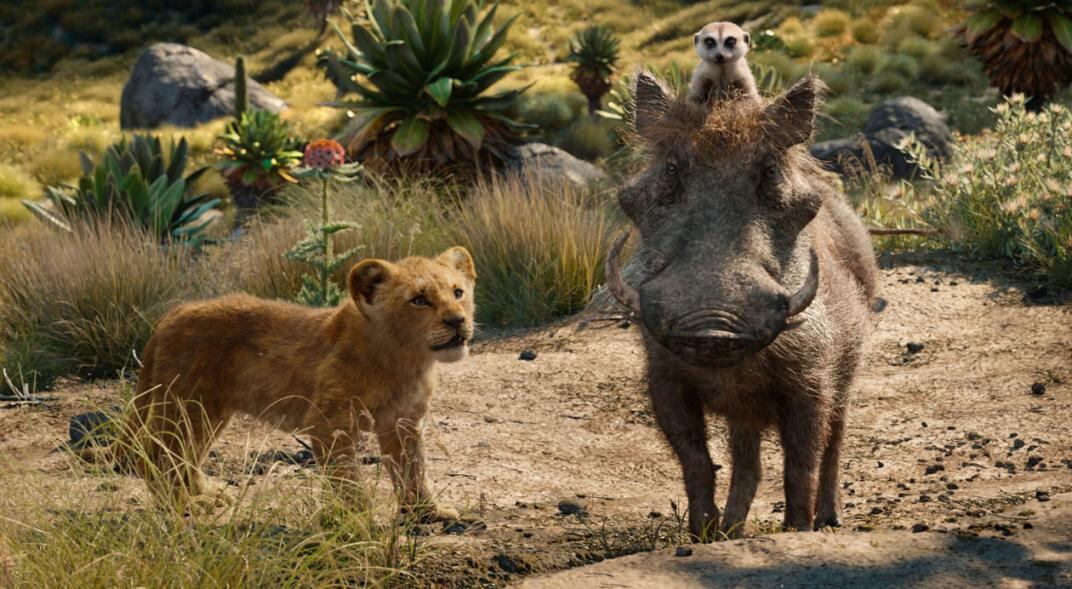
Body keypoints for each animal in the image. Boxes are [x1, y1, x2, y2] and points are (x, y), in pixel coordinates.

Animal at [109, 247, 476, 520]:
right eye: (419, 300)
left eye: (458, 293)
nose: (458, 320)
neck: (406, 361)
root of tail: (169, 317)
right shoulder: (330, 422)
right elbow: (346, 478)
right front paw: (358, 521)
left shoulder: (403, 423)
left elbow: (413, 469)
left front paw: (426, 512)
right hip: (186, 405)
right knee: (156, 455)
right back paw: (186, 505)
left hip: (208, 411)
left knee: (186, 456)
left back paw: (206, 494)